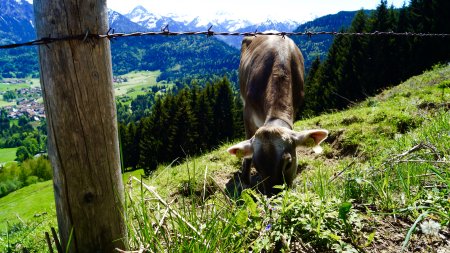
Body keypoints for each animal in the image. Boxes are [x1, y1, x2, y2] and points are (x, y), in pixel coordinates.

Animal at [229, 35, 326, 194]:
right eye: (257, 167)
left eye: (289, 163)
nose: (274, 196)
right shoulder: (247, 113)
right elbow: (247, 152)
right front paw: (245, 181)